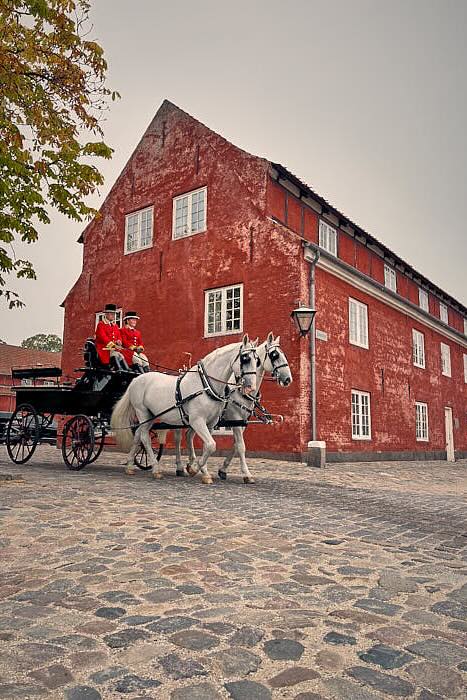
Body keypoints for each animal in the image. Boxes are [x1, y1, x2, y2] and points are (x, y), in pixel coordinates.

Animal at [112, 336, 262, 484]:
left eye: (257, 360)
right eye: (245, 358)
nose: (251, 387)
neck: (206, 385)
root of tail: (136, 379)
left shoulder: (211, 423)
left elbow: (208, 446)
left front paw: (202, 471)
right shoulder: (197, 421)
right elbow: (211, 445)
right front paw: (195, 468)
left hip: (150, 416)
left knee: (138, 434)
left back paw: (129, 465)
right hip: (142, 412)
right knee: (145, 438)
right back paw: (156, 469)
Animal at [176, 332, 292, 482]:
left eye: (257, 360)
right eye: (274, 355)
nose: (288, 379)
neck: (240, 391)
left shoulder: (241, 422)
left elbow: (236, 445)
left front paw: (223, 469)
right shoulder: (235, 419)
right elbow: (241, 446)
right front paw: (247, 474)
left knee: (189, 435)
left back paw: (192, 463)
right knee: (178, 439)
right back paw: (180, 466)